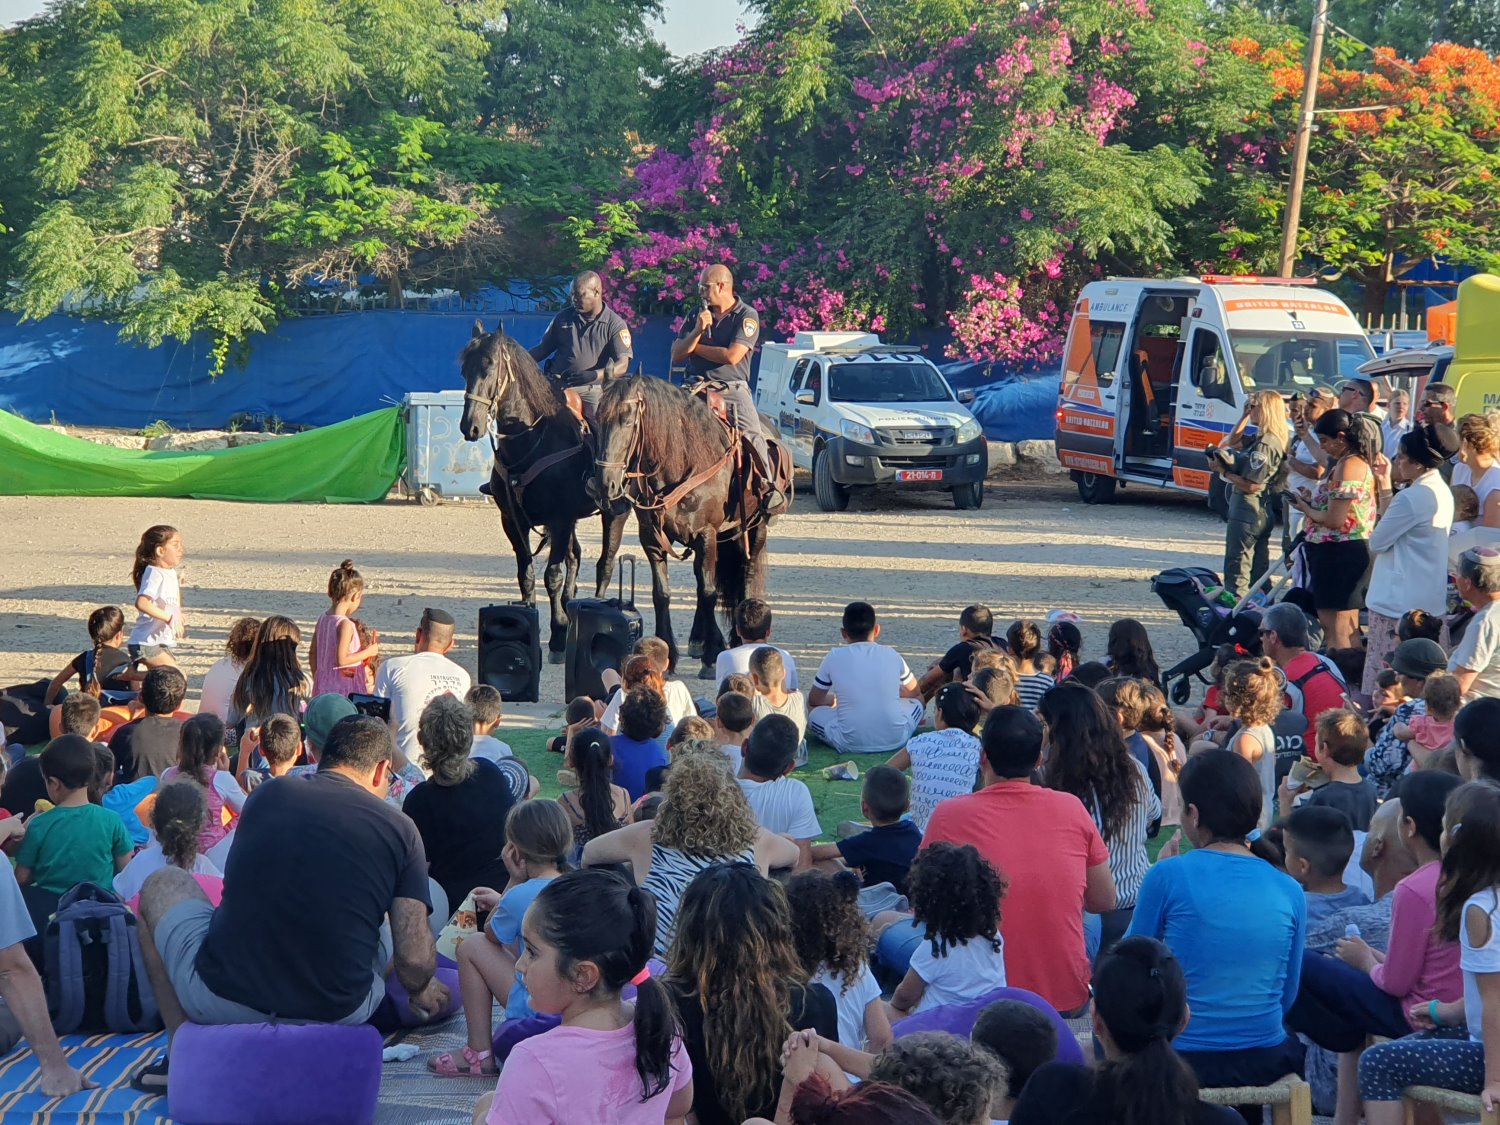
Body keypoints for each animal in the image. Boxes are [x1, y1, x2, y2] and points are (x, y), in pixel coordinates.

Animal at [456, 319, 621, 660]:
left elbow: (552, 575)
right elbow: (526, 573)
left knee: (604, 563)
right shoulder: (512, 519)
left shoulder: (559, 519)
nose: (470, 426)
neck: (532, 439)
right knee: (576, 556)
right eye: (464, 369)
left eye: (490, 366)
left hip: (613, 513)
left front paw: (557, 634)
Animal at [591, 379, 774, 678]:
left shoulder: (706, 533)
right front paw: (667, 652)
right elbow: (662, 594)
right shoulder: (652, 537)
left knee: (745, 572)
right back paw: (700, 640)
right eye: (597, 419)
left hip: (755, 527)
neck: (680, 464)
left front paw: (712, 655)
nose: (605, 484)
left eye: (628, 420)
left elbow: (708, 593)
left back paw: (738, 638)